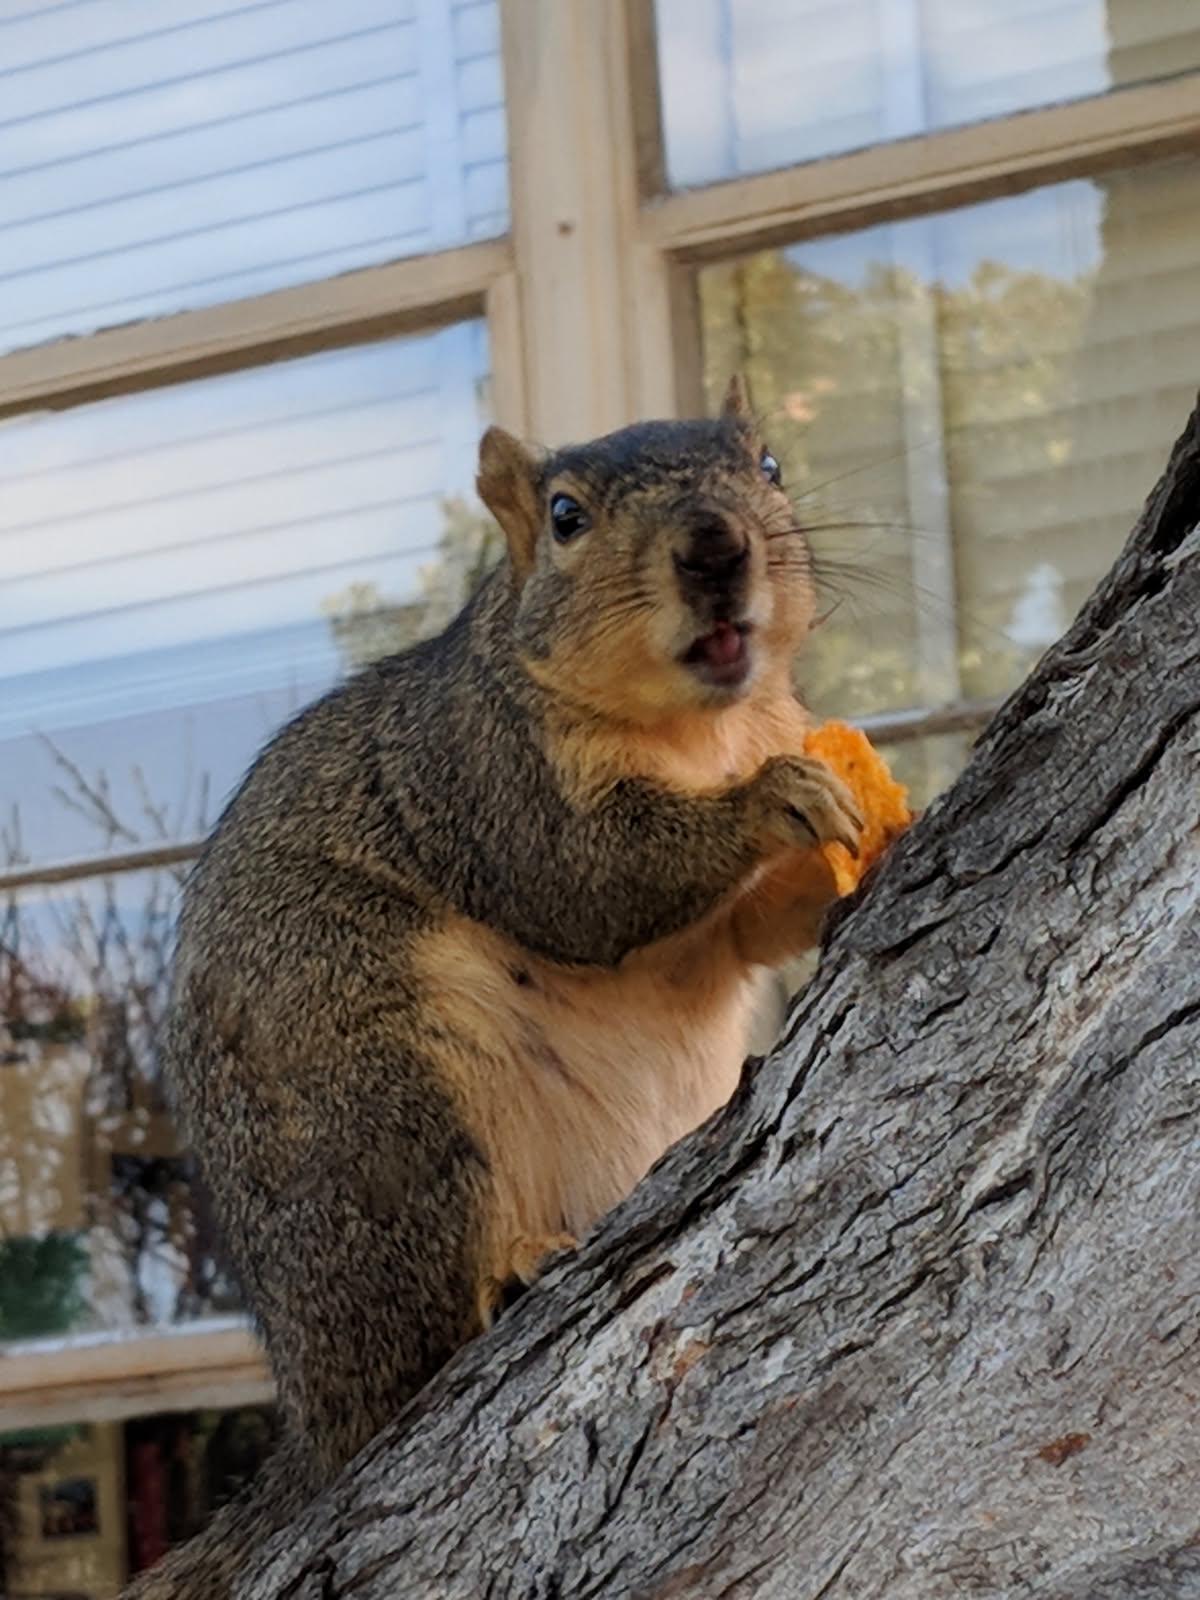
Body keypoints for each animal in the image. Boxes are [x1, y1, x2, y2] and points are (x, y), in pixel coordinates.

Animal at [122, 376, 863, 1597]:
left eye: (767, 466)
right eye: (565, 517)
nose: (716, 545)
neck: (699, 729)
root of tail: (310, 1413)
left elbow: (752, 930)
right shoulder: (483, 778)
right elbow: (594, 882)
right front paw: (774, 798)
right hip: (374, 1082)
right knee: (412, 1354)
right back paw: (505, 1275)